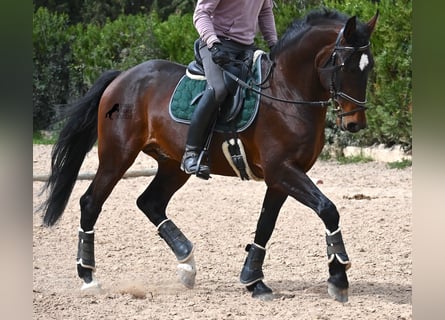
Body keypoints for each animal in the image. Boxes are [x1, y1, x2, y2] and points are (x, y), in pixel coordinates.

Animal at [40, 8, 376, 302]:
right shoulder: (282, 170)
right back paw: (88, 277)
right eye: (344, 65)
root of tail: (123, 77)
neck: (287, 92)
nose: (355, 124)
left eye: (369, 67)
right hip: (117, 156)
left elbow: (265, 225)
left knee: (150, 202)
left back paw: (187, 264)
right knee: (91, 202)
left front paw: (253, 281)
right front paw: (338, 277)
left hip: (172, 165)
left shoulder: (281, 177)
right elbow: (328, 209)